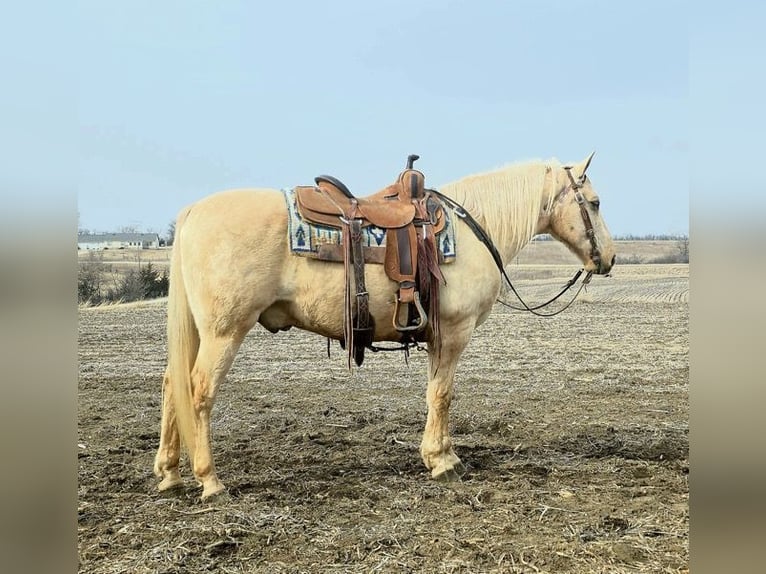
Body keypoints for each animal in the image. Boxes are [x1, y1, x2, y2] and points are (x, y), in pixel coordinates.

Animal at [154, 152, 616, 500]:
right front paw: (441, 462)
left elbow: (436, 393)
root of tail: (194, 211)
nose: (609, 259)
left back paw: (170, 473)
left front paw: (442, 454)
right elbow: (442, 394)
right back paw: (210, 481)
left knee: (171, 384)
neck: (472, 231)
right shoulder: (454, 332)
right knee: (198, 390)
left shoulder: (436, 337)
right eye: (594, 203)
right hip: (224, 331)